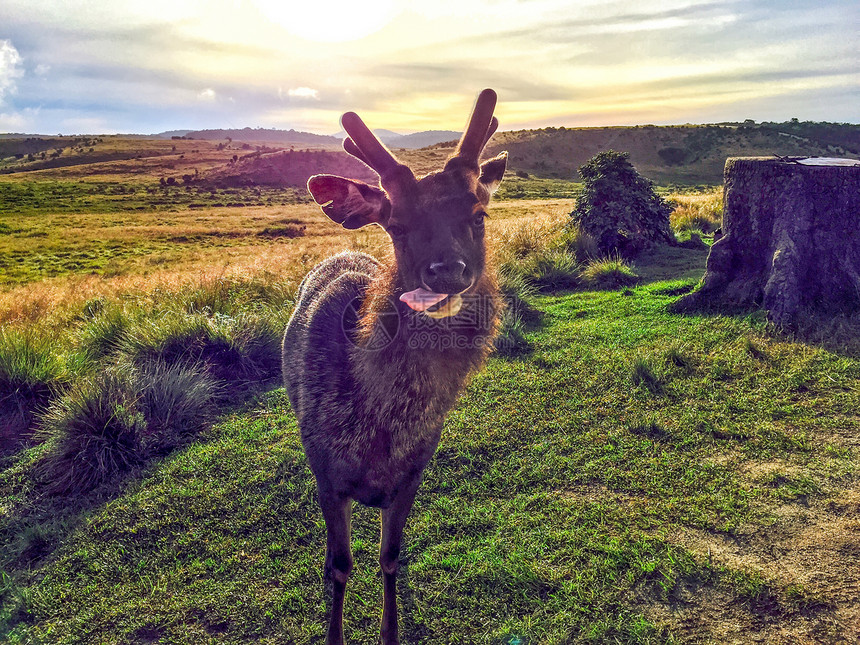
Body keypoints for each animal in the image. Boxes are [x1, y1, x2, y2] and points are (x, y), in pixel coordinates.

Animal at [286, 88, 508, 640]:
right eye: (397, 224)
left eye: (479, 214)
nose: (446, 271)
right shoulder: (325, 470)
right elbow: (342, 565)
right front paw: (334, 634)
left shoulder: (414, 473)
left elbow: (390, 556)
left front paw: (390, 632)